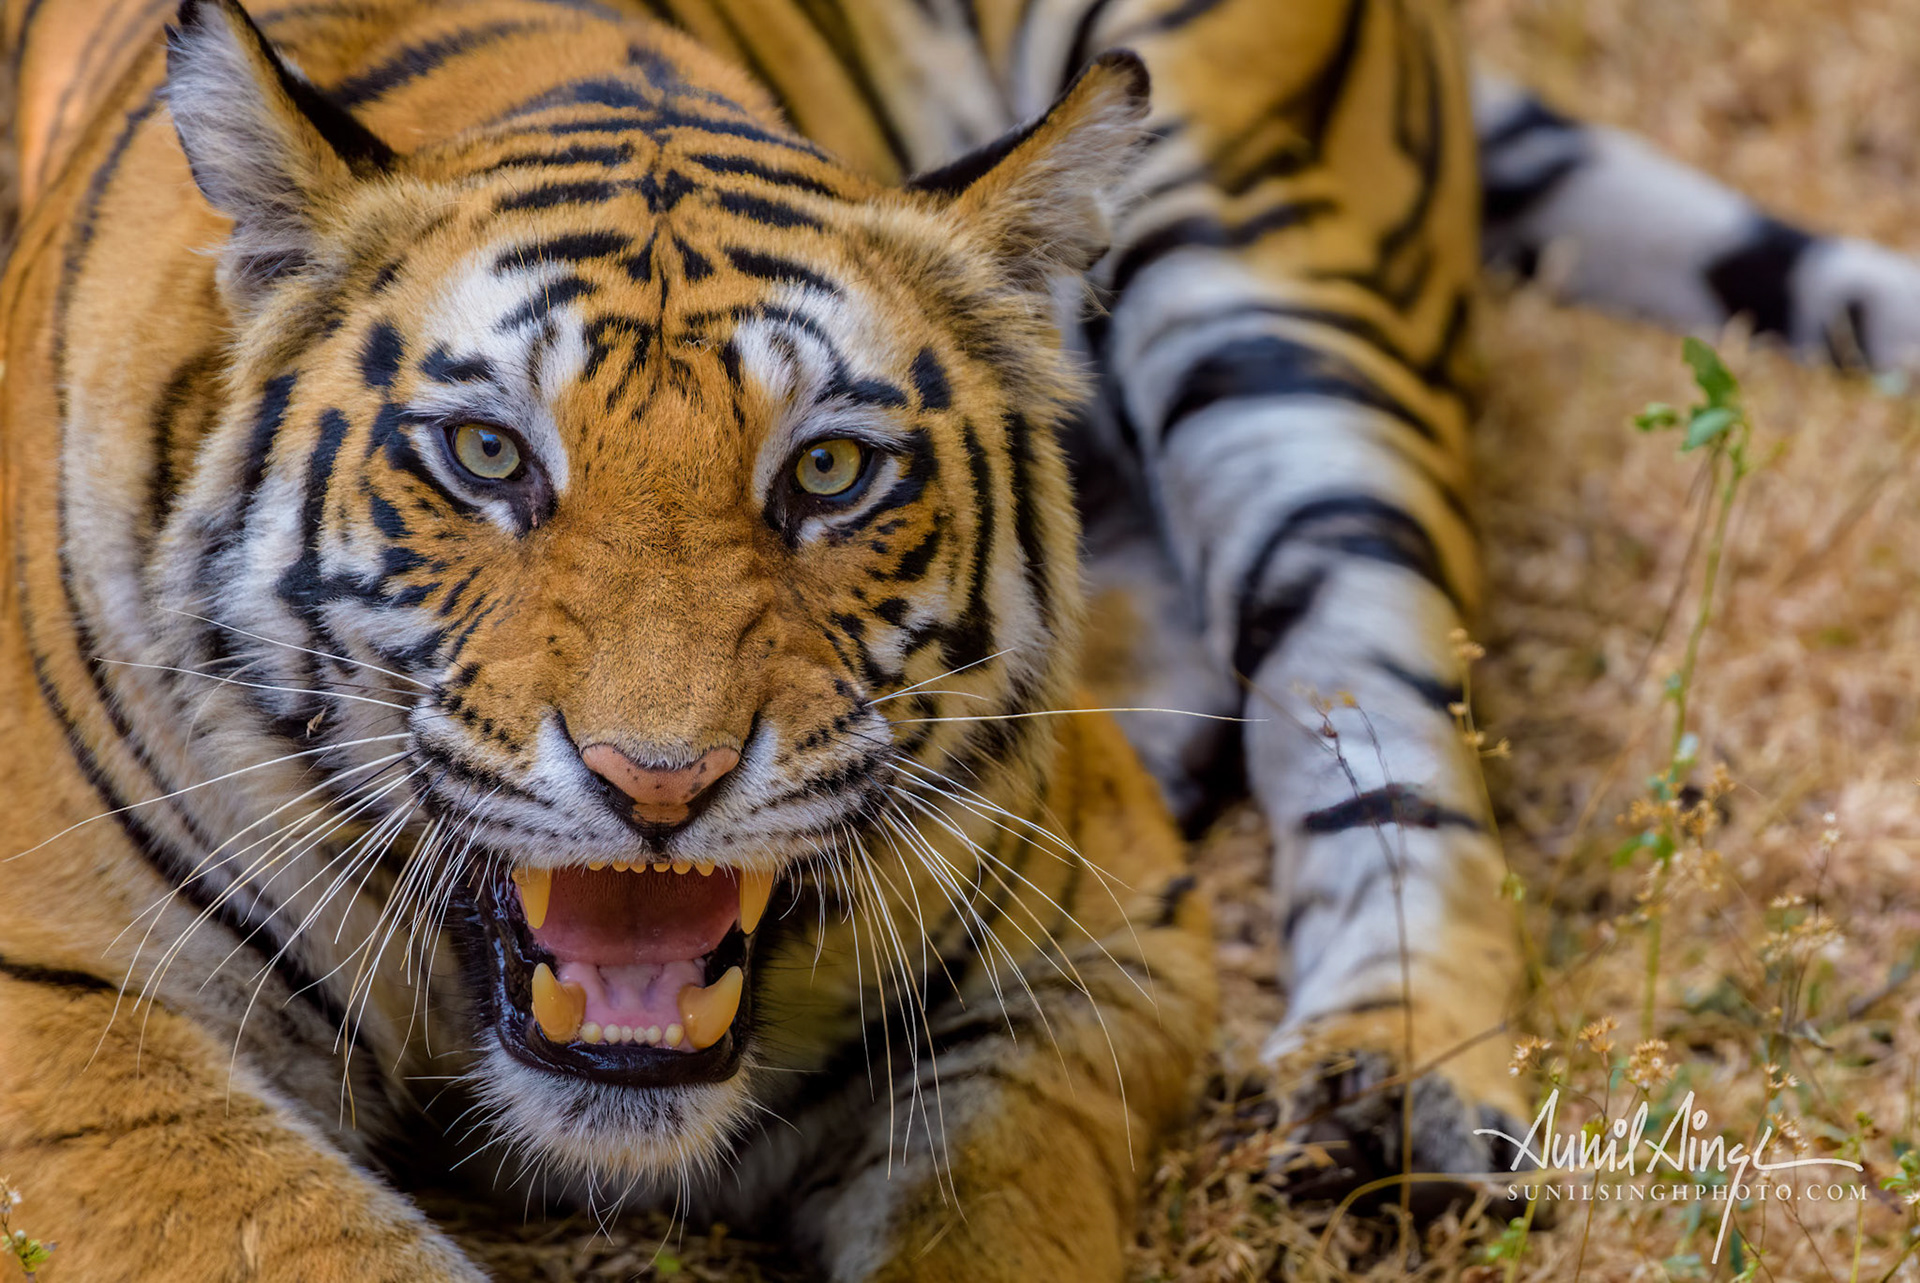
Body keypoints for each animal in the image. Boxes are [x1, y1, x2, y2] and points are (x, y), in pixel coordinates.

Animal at [4, 0, 1919, 1279]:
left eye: (829, 470)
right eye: (486, 455)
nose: (657, 785)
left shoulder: (1098, 950)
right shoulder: (68, 1002)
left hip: (1271, 251)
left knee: (1375, 688)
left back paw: (1396, 1086)